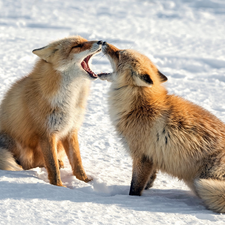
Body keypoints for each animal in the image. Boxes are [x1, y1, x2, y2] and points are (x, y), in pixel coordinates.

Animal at [0, 35, 102, 186]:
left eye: (85, 40)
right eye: (77, 46)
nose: (102, 41)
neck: (70, 101)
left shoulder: (71, 131)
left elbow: (77, 162)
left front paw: (85, 181)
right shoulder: (46, 133)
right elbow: (52, 167)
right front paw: (58, 186)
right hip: (15, 144)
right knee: (28, 164)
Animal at [98, 41, 225, 213]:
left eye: (119, 54)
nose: (102, 42)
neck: (139, 106)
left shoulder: (142, 156)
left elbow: (135, 188)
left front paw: (131, 202)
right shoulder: (152, 159)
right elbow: (148, 181)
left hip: (206, 178)